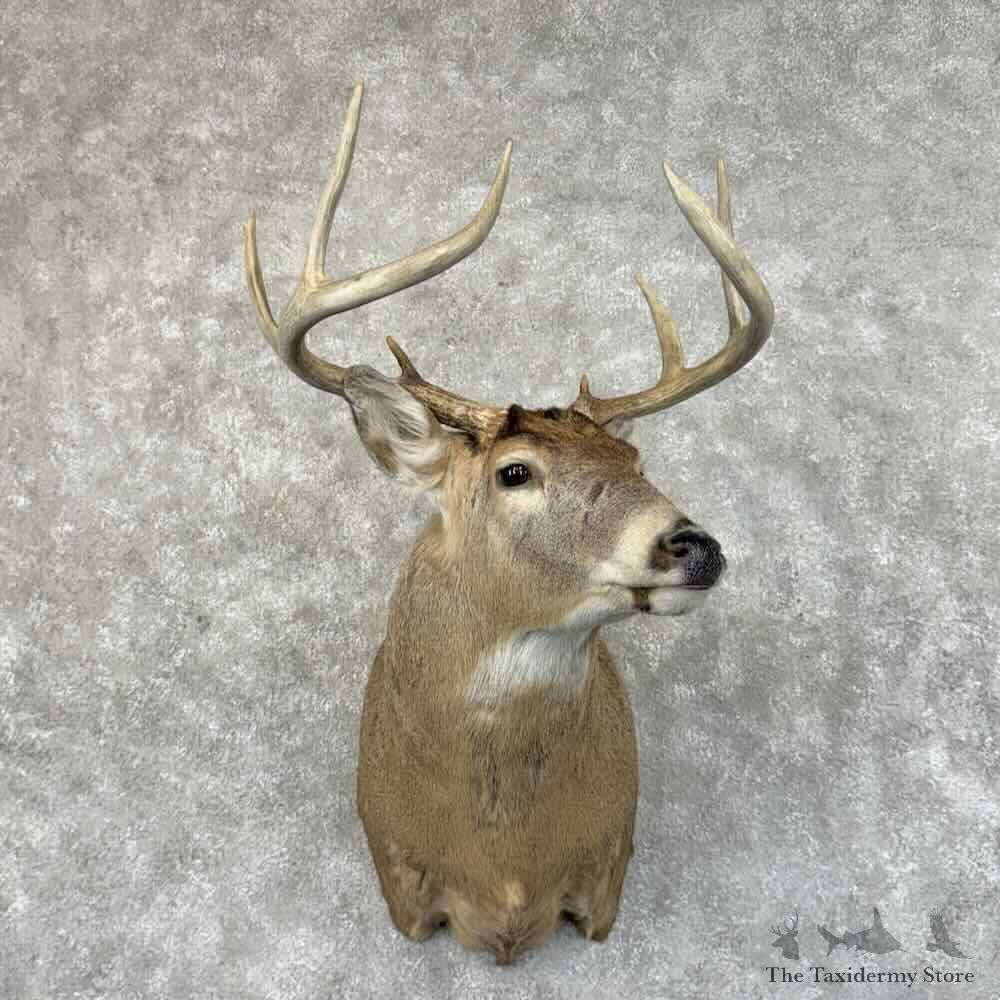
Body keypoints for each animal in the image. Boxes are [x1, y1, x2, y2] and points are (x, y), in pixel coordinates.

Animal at [243, 81, 773, 965]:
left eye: (635, 463)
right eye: (514, 471)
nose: (694, 545)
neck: (507, 870)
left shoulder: (606, 877)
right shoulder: (402, 879)